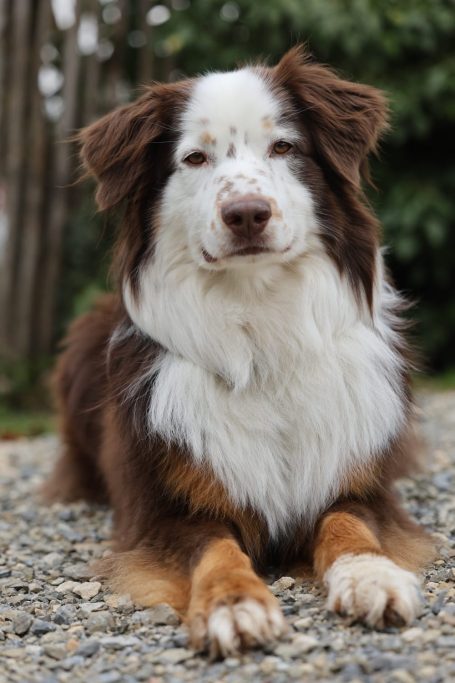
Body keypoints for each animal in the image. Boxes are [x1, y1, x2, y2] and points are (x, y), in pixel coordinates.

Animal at [45, 45, 434, 656]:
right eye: (195, 158)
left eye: (284, 147)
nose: (247, 213)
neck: (260, 331)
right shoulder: (165, 511)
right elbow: (215, 547)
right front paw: (233, 603)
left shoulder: (356, 483)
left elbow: (351, 525)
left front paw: (372, 576)